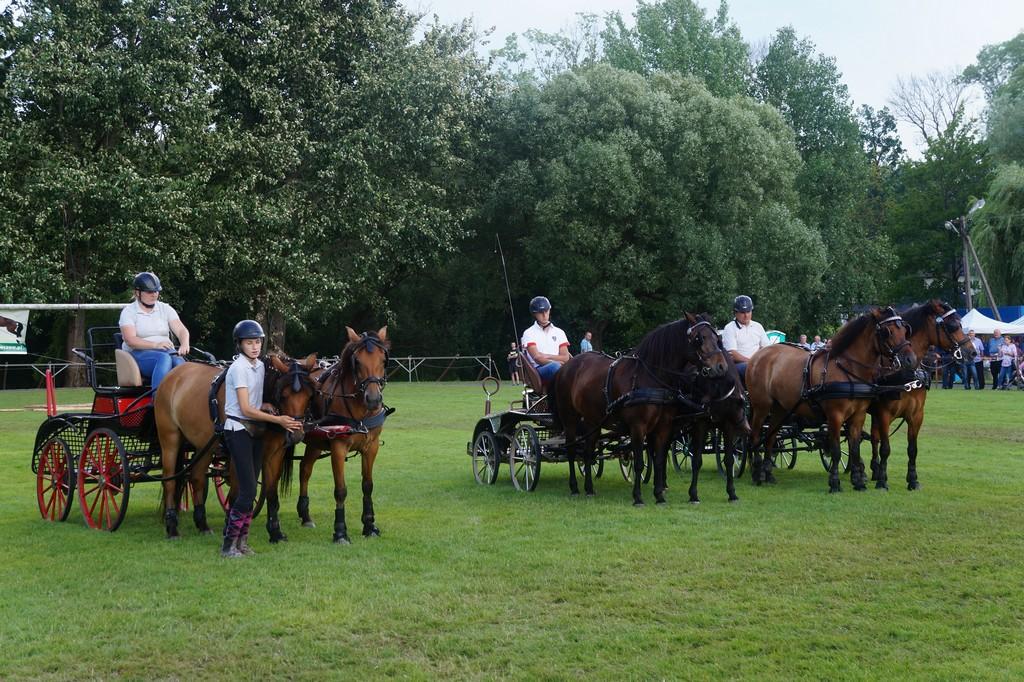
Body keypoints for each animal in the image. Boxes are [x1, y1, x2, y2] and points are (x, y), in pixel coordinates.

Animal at [153, 352, 318, 538]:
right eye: (283, 395)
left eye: (309, 396)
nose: (297, 433)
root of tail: (174, 374)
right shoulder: (236, 456)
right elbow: (236, 493)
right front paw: (230, 529)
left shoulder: (273, 455)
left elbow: (271, 492)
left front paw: (275, 531)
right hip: (170, 439)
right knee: (169, 481)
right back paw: (172, 527)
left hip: (205, 445)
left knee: (196, 478)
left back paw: (202, 524)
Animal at [272, 326, 390, 545]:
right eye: (357, 362)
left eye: (383, 360)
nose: (373, 399)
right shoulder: (338, 447)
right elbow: (341, 490)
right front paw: (340, 532)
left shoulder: (372, 447)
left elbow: (368, 485)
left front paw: (369, 525)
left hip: (315, 442)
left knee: (305, 469)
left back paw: (305, 515)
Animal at [550, 313, 729, 506]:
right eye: (698, 338)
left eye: (717, 338)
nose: (721, 367)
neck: (650, 376)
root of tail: (566, 367)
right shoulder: (638, 427)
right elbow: (638, 463)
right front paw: (638, 497)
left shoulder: (663, 427)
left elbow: (659, 460)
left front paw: (659, 495)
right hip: (570, 419)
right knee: (571, 450)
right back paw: (574, 487)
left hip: (593, 421)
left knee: (588, 452)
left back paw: (589, 489)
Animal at [745, 306, 916, 493]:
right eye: (888, 332)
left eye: (904, 330)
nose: (911, 360)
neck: (848, 369)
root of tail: (758, 355)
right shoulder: (835, 416)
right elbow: (835, 450)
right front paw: (834, 483)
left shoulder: (858, 416)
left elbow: (854, 449)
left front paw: (858, 482)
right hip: (761, 407)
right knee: (755, 437)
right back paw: (756, 473)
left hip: (780, 409)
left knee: (770, 437)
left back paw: (768, 474)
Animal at [868, 300, 974, 490]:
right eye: (953, 325)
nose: (972, 352)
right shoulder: (884, 414)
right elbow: (885, 448)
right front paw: (882, 481)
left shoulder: (916, 415)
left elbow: (912, 449)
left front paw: (912, 480)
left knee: (873, 437)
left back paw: (875, 469)